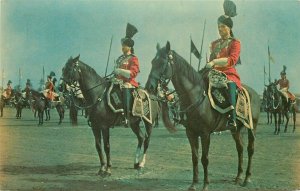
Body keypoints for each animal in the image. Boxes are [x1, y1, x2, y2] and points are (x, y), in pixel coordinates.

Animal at [145, 41, 260, 191]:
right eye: (153, 62)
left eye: (163, 63)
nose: (149, 87)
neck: (195, 96)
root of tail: (255, 93)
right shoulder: (191, 133)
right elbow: (195, 157)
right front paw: (194, 183)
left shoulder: (205, 133)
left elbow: (204, 159)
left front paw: (205, 184)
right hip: (236, 129)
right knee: (239, 148)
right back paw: (238, 177)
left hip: (252, 127)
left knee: (250, 149)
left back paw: (247, 178)